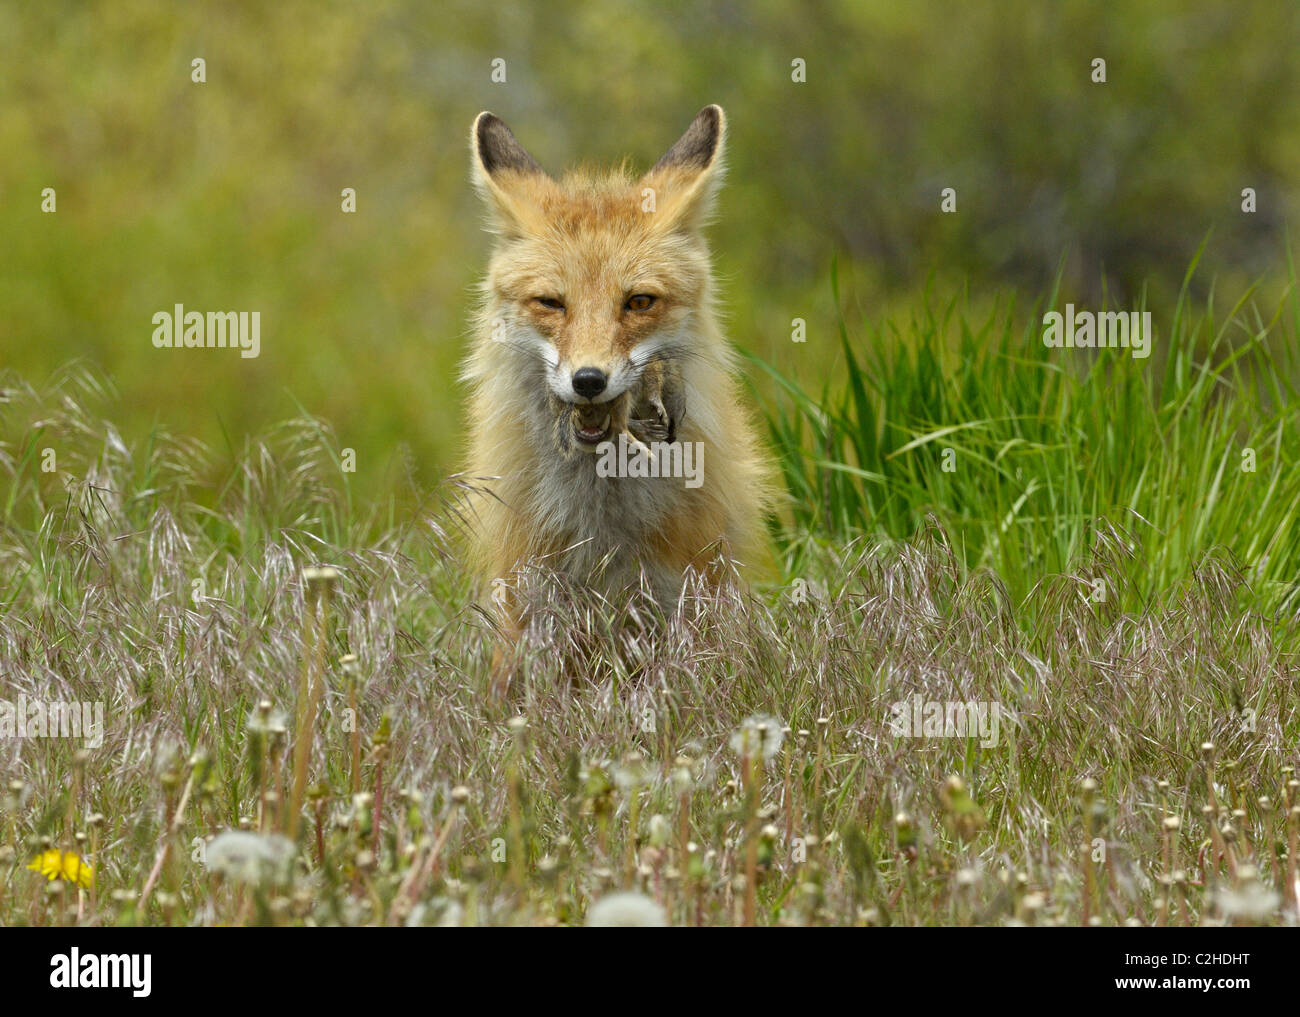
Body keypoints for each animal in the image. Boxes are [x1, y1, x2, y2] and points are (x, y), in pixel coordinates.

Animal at [462, 105, 769, 676]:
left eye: (639, 302)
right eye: (551, 303)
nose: (588, 380)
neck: (602, 524)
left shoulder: (686, 598)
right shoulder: (532, 608)